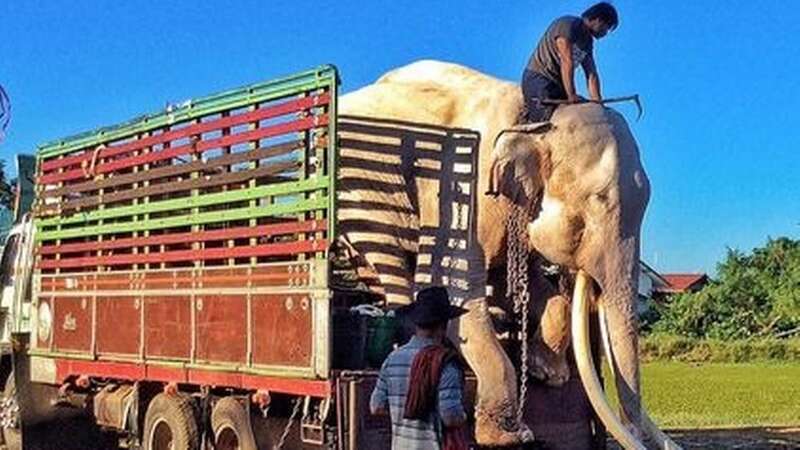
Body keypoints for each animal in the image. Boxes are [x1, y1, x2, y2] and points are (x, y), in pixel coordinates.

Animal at [334, 60, 680, 450]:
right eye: (597, 201)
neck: (534, 124)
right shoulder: (461, 189)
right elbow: (454, 283)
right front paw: (509, 435)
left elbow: (526, 285)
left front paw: (551, 375)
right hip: (360, 194)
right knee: (387, 256)